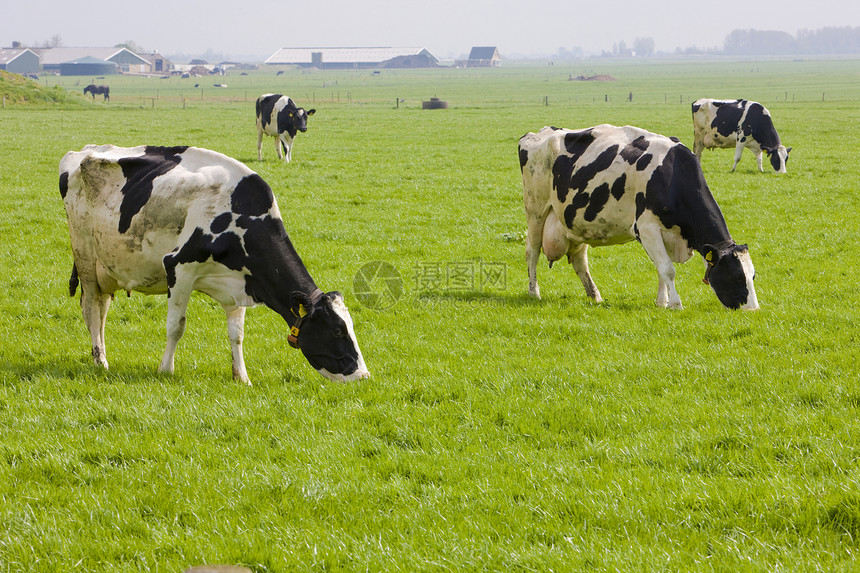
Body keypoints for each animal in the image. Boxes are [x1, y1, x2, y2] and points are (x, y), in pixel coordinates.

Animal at [59, 143, 370, 384]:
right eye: (337, 330)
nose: (363, 376)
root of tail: (84, 151)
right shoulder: (178, 267)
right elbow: (176, 326)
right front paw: (166, 370)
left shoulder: (239, 284)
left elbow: (237, 335)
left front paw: (241, 376)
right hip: (85, 257)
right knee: (90, 308)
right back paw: (100, 361)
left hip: (107, 267)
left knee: (102, 310)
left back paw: (101, 355)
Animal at [516, 123, 760, 310]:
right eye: (736, 276)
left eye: (753, 276)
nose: (753, 310)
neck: (671, 174)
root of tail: (539, 133)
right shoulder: (647, 228)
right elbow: (667, 268)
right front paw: (676, 304)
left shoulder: (665, 233)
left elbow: (662, 268)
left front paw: (662, 302)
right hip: (536, 211)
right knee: (532, 251)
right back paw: (534, 292)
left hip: (575, 222)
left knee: (579, 261)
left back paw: (595, 295)